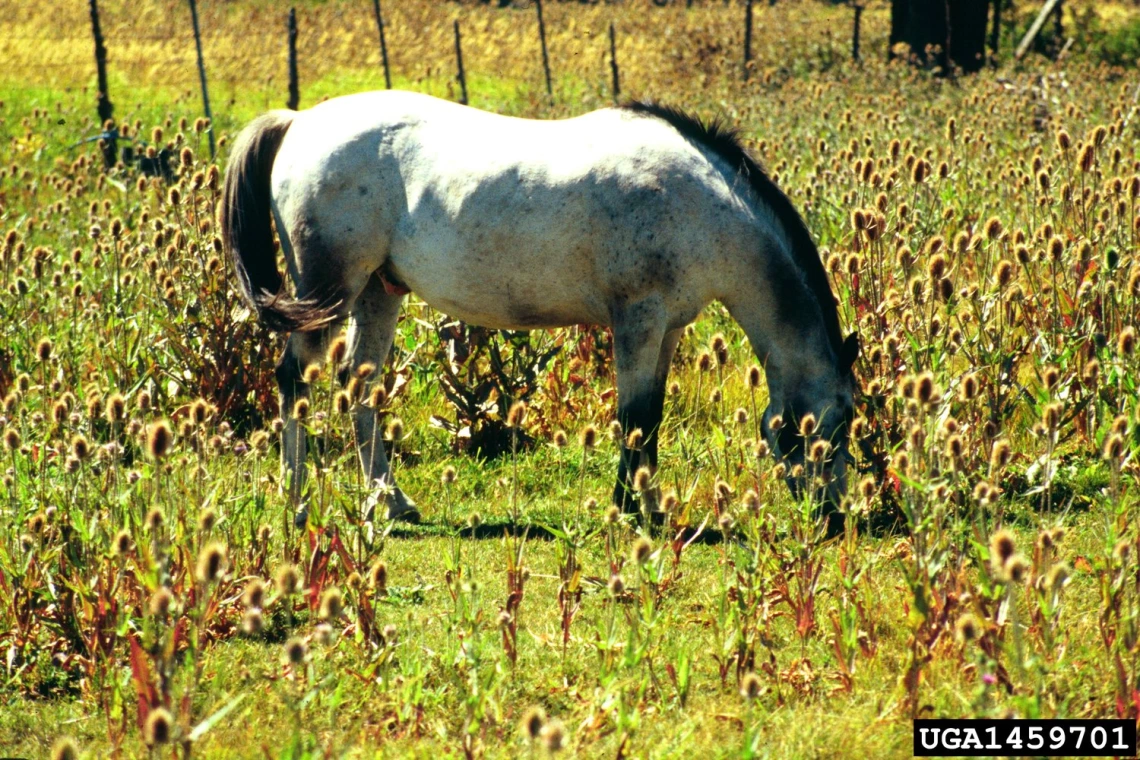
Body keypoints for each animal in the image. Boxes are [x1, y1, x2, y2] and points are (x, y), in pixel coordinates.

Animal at [222, 89, 857, 526]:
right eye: (841, 419)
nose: (832, 515)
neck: (696, 202)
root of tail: (299, 121)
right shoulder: (638, 319)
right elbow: (636, 416)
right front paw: (631, 507)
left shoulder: (668, 328)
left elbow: (649, 420)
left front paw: (647, 502)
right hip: (328, 291)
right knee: (294, 380)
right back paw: (297, 502)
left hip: (379, 292)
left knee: (360, 385)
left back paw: (391, 500)